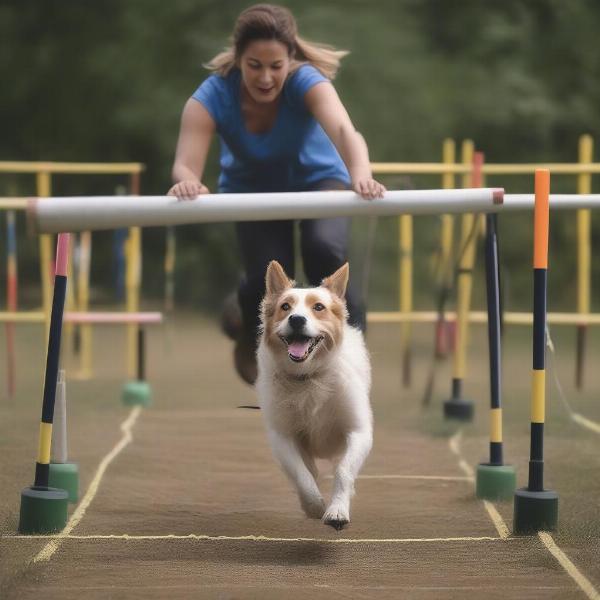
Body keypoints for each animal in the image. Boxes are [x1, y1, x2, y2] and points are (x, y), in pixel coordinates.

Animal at [255, 262, 372, 528]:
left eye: (318, 307)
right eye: (285, 307)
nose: (297, 319)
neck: (308, 379)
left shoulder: (359, 431)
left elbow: (343, 471)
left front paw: (337, 510)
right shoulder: (284, 436)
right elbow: (302, 474)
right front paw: (314, 506)